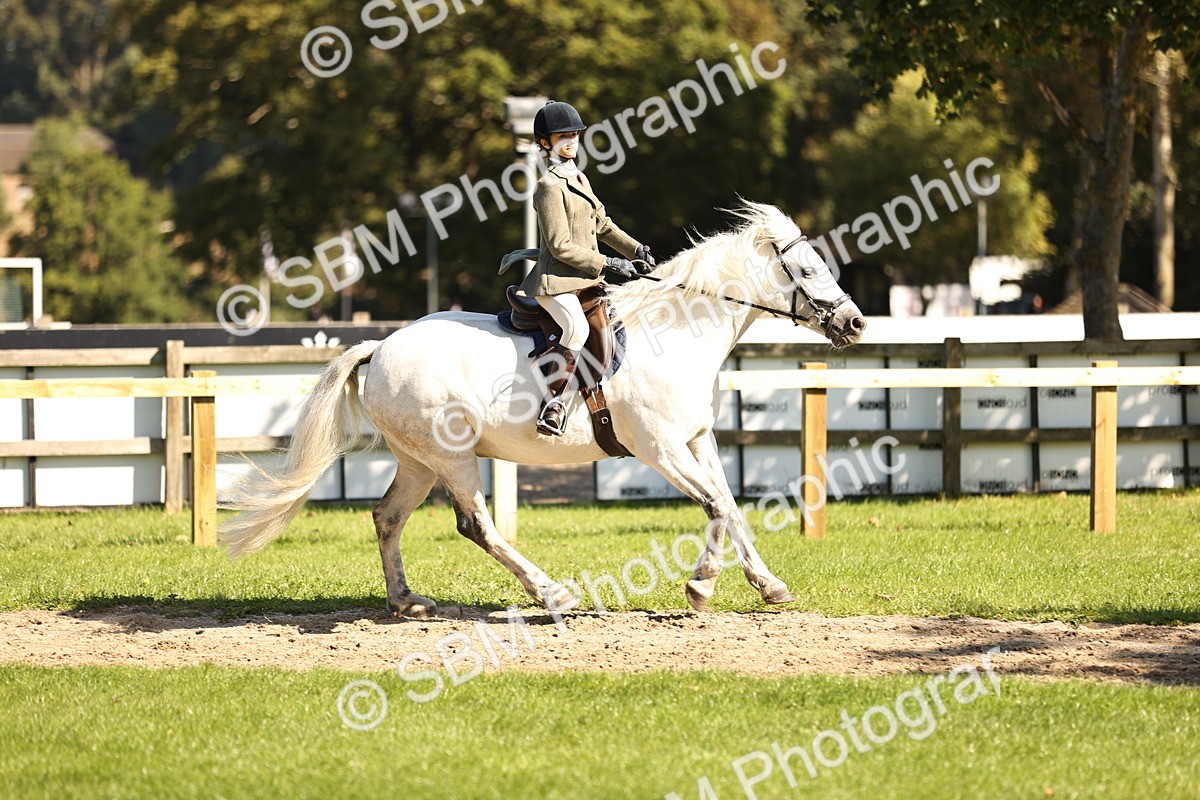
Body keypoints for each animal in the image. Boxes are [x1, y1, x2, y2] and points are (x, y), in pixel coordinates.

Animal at [219, 201, 866, 617]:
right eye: (808, 270)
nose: (856, 323)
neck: (676, 332)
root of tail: (382, 346)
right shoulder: (657, 448)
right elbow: (712, 505)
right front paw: (700, 586)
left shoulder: (696, 438)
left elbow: (729, 506)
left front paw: (769, 585)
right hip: (452, 457)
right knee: (476, 525)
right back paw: (553, 593)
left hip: (418, 460)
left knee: (387, 517)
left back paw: (407, 601)